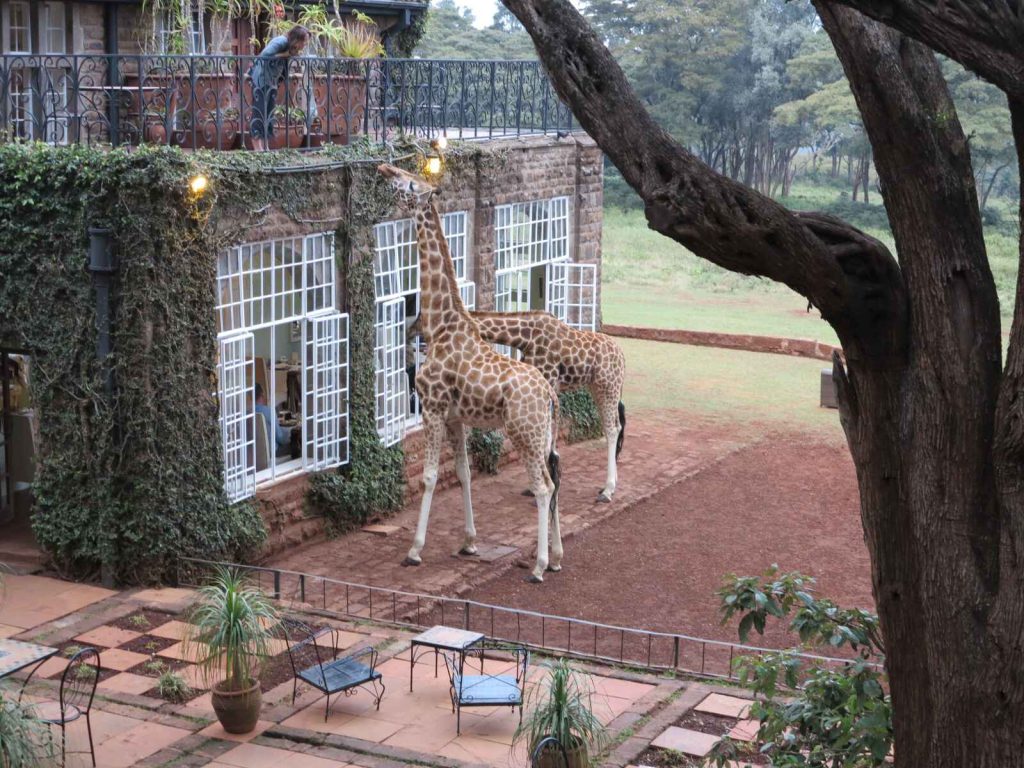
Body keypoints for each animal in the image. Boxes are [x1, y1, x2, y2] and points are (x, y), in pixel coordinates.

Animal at [377, 163, 564, 583]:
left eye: (410, 182)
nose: (383, 168)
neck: (442, 324)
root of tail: (549, 394)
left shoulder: (431, 407)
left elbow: (430, 476)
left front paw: (414, 550)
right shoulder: (455, 416)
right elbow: (463, 473)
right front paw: (469, 542)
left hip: (523, 433)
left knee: (543, 487)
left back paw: (539, 566)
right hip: (543, 434)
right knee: (555, 480)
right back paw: (558, 557)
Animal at [471, 311, 626, 502]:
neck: (525, 338)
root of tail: (622, 356)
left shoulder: (548, 382)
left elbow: (546, 444)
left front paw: (550, 484)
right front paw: (538, 487)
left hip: (608, 386)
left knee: (611, 430)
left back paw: (608, 490)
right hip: (597, 388)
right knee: (615, 425)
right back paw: (611, 484)